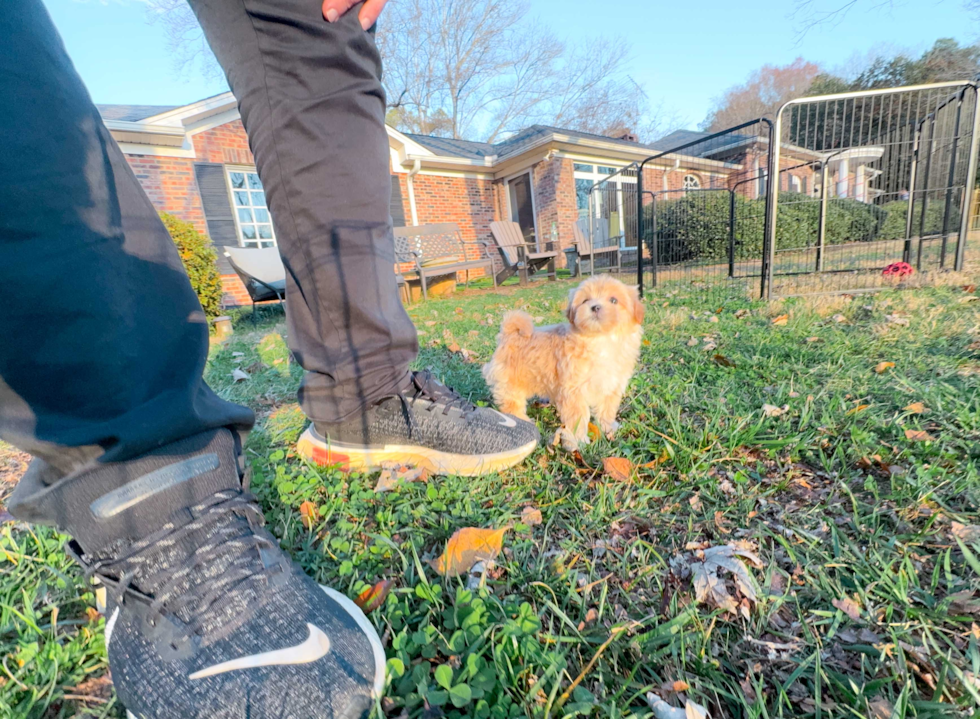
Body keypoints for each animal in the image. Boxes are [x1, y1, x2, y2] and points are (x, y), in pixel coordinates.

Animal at [480, 276, 644, 450]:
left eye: (614, 300)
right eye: (585, 300)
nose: (595, 307)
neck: (600, 339)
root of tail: (509, 334)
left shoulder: (611, 386)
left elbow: (607, 409)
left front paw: (609, 428)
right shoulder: (573, 390)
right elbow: (578, 417)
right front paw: (578, 440)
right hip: (510, 383)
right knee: (511, 405)